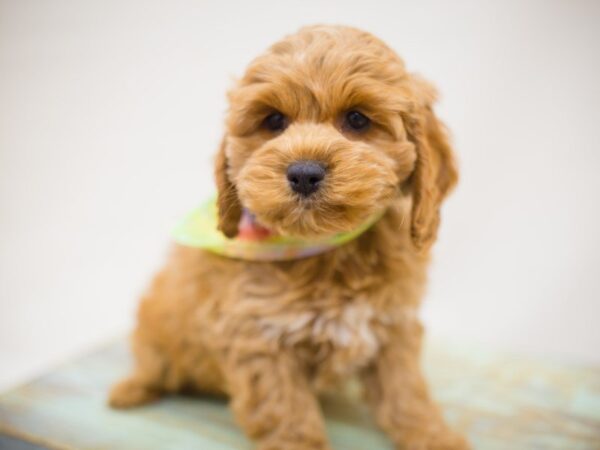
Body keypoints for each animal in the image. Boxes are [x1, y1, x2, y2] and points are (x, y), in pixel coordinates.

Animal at [109, 25, 468, 450]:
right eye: (274, 120)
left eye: (357, 119)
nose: (304, 173)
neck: (330, 250)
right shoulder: (260, 339)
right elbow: (288, 416)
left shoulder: (393, 324)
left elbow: (406, 391)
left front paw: (434, 436)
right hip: (154, 327)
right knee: (151, 363)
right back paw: (130, 389)